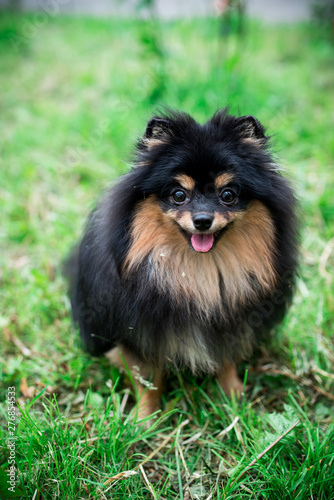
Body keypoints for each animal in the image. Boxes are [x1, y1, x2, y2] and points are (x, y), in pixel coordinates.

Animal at [68, 108, 298, 418]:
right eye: (179, 195)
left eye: (228, 195)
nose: (202, 220)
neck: (197, 270)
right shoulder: (140, 331)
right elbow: (148, 380)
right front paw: (145, 418)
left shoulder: (229, 321)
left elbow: (225, 359)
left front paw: (234, 398)